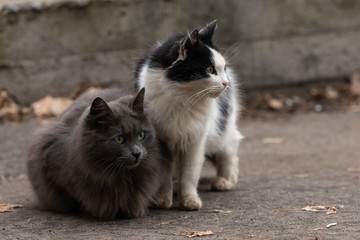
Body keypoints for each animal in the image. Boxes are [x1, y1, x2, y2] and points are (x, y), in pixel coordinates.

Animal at [134, 19, 242, 209]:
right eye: (209, 69)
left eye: (223, 68)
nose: (226, 83)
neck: (183, 98)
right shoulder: (161, 141)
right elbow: (164, 176)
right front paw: (163, 200)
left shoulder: (196, 140)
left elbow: (190, 174)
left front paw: (189, 200)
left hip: (223, 127)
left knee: (230, 145)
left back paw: (225, 181)